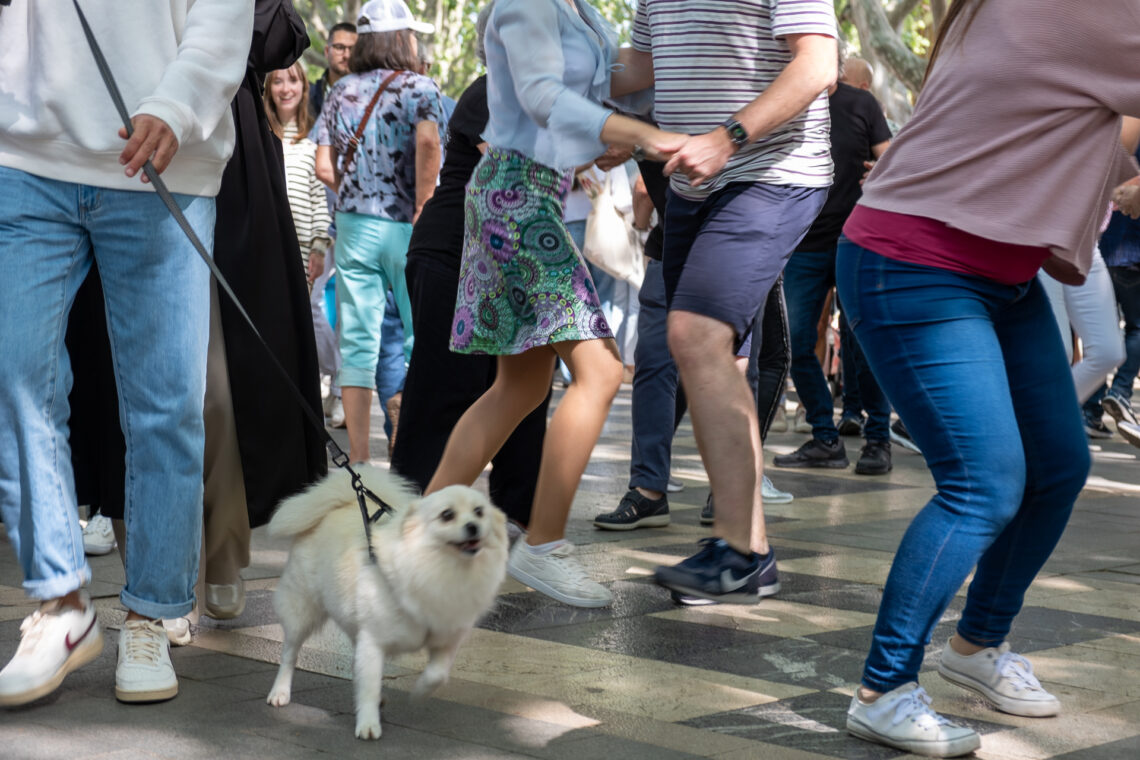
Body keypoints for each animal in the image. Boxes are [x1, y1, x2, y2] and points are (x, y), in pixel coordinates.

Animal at [264, 467, 506, 738]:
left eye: (479, 512)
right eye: (447, 515)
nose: (473, 526)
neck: (441, 568)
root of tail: (336, 504)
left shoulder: (447, 639)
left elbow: (437, 674)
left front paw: (420, 691)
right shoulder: (373, 640)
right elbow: (370, 685)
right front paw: (368, 724)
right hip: (302, 611)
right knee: (290, 653)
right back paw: (280, 692)